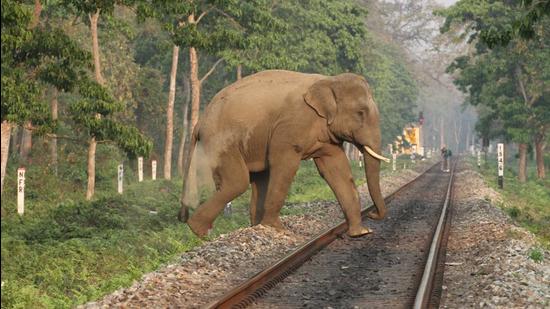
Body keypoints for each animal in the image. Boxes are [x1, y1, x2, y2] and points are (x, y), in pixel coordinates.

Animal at [179, 70, 390, 237]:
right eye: (360, 113)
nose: (373, 214)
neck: (328, 80)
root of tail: (200, 123)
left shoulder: (327, 136)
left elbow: (335, 169)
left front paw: (360, 233)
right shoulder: (291, 125)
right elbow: (284, 164)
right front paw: (277, 229)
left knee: (258, 180)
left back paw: (254, 227)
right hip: (220, 143)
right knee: (237, 182)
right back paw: (198, 230)